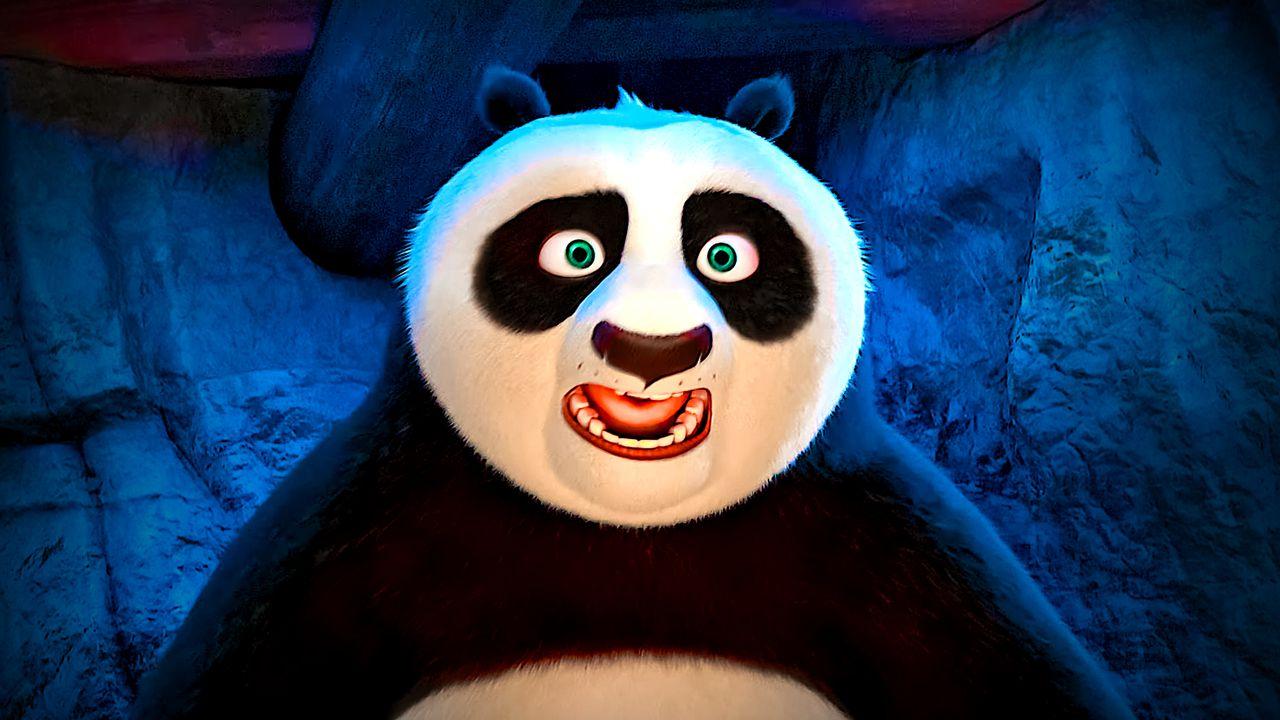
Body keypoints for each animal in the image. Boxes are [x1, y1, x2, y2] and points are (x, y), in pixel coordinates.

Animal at [133, 69, 1133, 720]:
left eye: (725, 255)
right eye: (575, 251)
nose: (654, 348)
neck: (630, 531)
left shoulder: (880, 536)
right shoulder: (366, 528)